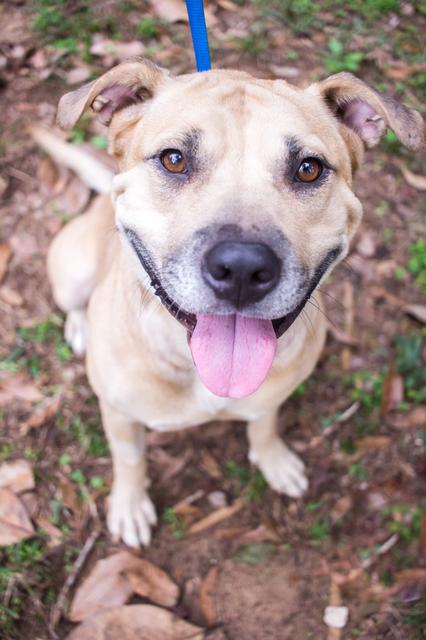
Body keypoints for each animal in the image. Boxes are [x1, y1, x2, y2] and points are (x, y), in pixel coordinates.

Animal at [43, 60, 424, 546]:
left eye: (308, 168)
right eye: (174, 159)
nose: (242, 268)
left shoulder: (271, 398)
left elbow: (264, 423)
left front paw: (274, 458)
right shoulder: (119, 415)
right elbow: (129, 459)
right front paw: (129, 504)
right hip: (72, 270)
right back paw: (79, 326)